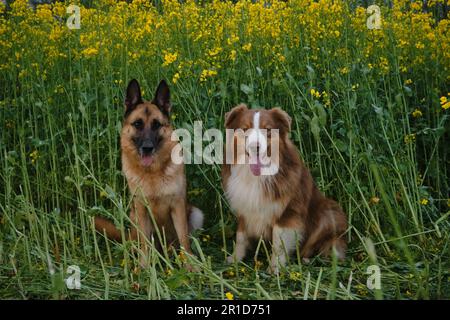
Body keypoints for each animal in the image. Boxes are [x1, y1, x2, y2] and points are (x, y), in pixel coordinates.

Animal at [95, 79, 204, 264]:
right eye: (137, 124)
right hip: (134, 217)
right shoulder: (141, 209)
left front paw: (190, 265)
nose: (147, 148)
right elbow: (145, 243)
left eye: (156, 125)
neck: (153, 172)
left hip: (196, 214)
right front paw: (144, 266)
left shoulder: (177, 206)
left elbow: (184, 240)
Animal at [222, 104, 348, 272]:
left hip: (329, 212)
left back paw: (308, 259)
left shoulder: (288, 211)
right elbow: (241, 236)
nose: (255, 147)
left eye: (268, 130)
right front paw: (236, 259)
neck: (257, 175)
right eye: (244, 129)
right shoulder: (244, 205)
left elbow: (279, 242)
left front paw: (275, 268)